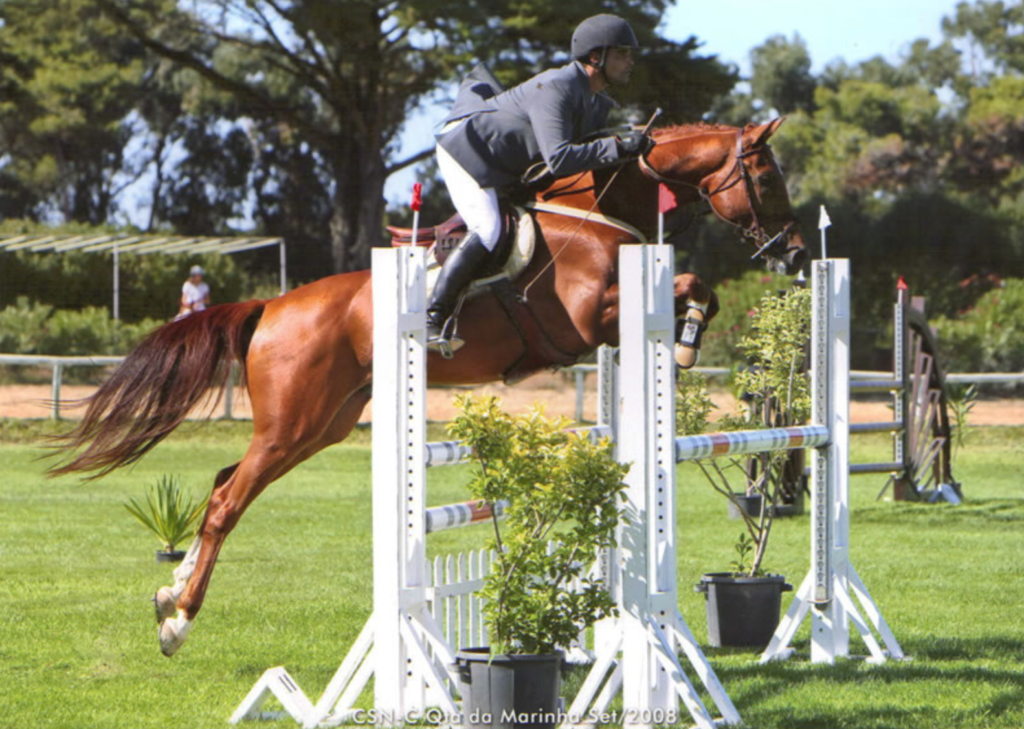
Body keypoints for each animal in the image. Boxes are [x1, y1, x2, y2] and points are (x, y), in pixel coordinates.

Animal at [49, 115, 806, 655]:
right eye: (768, 179)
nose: (796, 253)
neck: (599, 213)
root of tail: (272, 307)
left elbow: (699, 287)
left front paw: (687, 340)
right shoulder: (593, 316)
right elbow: (691, 285)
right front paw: (684, 346)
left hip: (319, 425)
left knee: (222, 482)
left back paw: (170, 590)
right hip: (293, 423)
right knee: (228, 500)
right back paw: (177, 621)